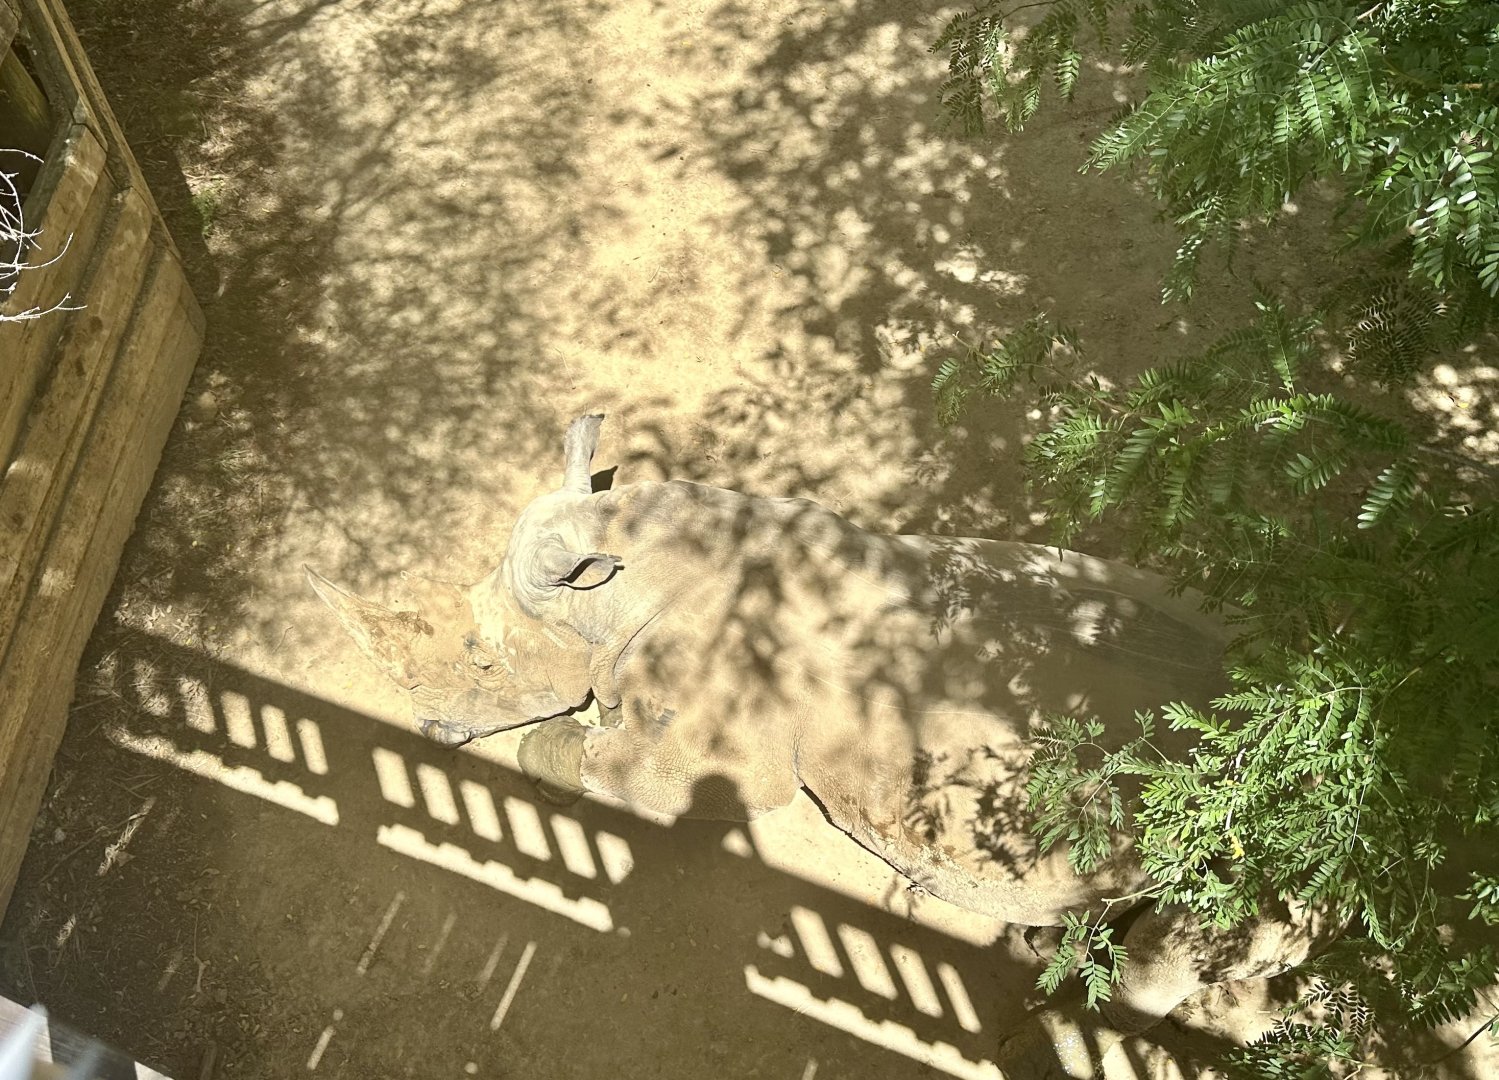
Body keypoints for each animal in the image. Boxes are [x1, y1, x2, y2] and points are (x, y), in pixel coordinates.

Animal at [308, 414, 1330, 1060]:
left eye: (481, 662)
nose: (428, 728)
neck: (616, 583)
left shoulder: (704, 755)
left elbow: (587, 759)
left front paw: (555, 748)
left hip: (1262, 829)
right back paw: (1048, 944)